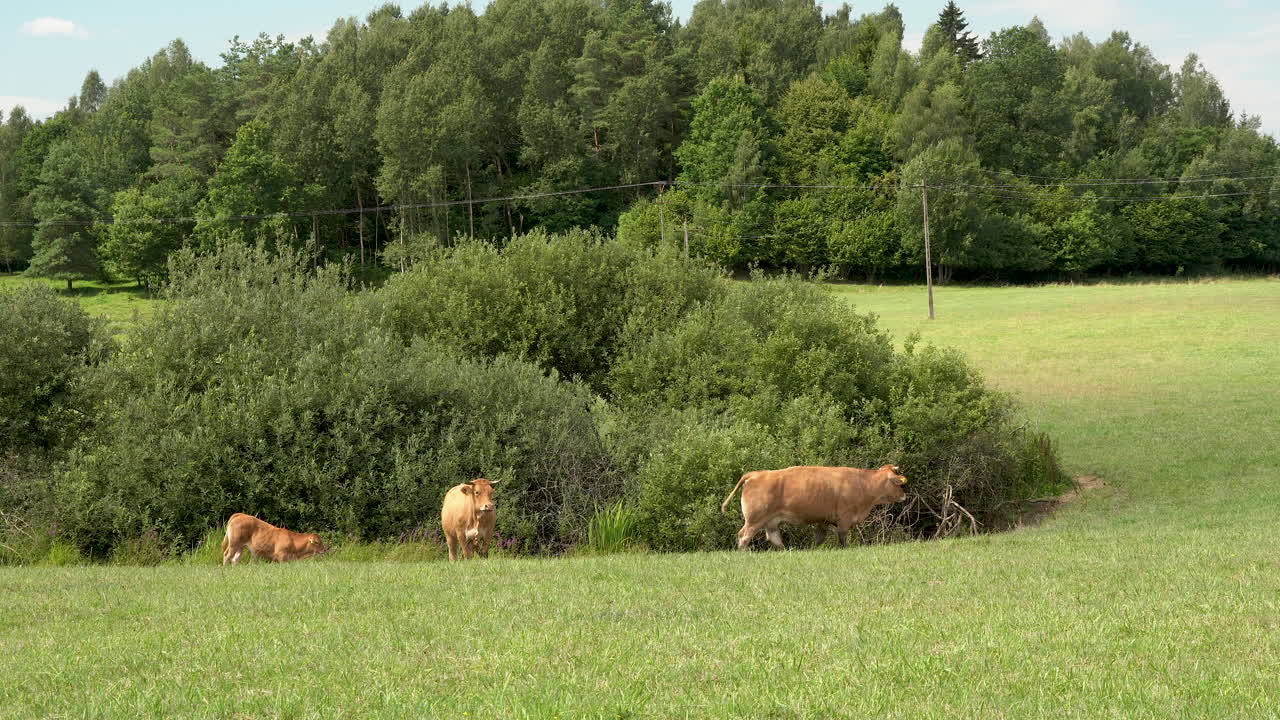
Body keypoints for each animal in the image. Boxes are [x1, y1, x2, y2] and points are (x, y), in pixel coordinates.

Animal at [721, 465, 908, 551]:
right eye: (898, 484)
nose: (904, 495)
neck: (863, 484)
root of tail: (756, 474)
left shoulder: (823, 520)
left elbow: (819, 538)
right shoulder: (844, 519)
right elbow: (842, 538)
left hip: (771, 521)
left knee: (773, 537)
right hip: (754, 520)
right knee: (744, 537)